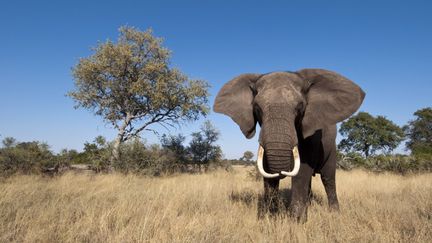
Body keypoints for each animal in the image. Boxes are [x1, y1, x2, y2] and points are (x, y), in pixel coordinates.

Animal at [213, 69, 364, 222]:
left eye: (300, 107)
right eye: (257, 108)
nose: (281, 172)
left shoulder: (311, 134)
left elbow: (302, 170)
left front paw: (297, 221)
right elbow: (268, 172)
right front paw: (270, 218)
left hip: (331, 148)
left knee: (328, 178)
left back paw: (334, 213)